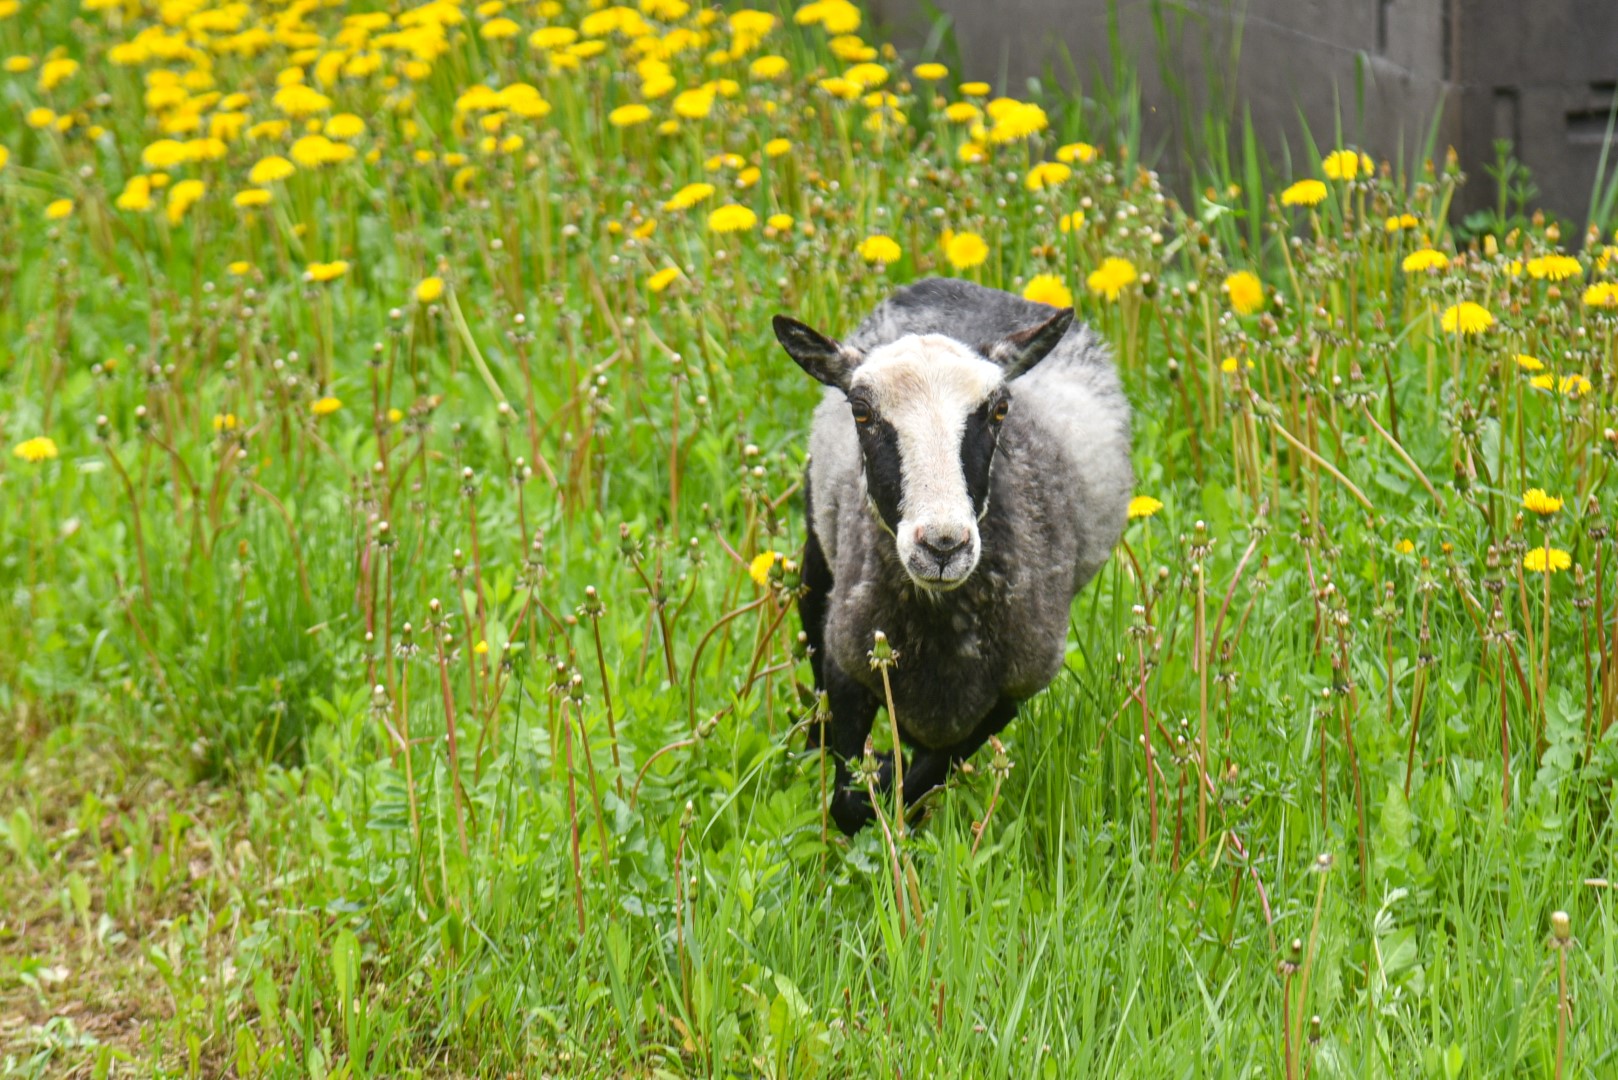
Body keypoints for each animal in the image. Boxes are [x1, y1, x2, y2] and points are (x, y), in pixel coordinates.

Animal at [773, 278, 1132, 835]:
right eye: (861, 411)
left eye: (999, 410)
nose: (943, 546)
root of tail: (965, 285)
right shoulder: (849, 658)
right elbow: (850, 801)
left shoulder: (1011, 690)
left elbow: (928, 772)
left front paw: (900, 790)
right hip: (817, 549)